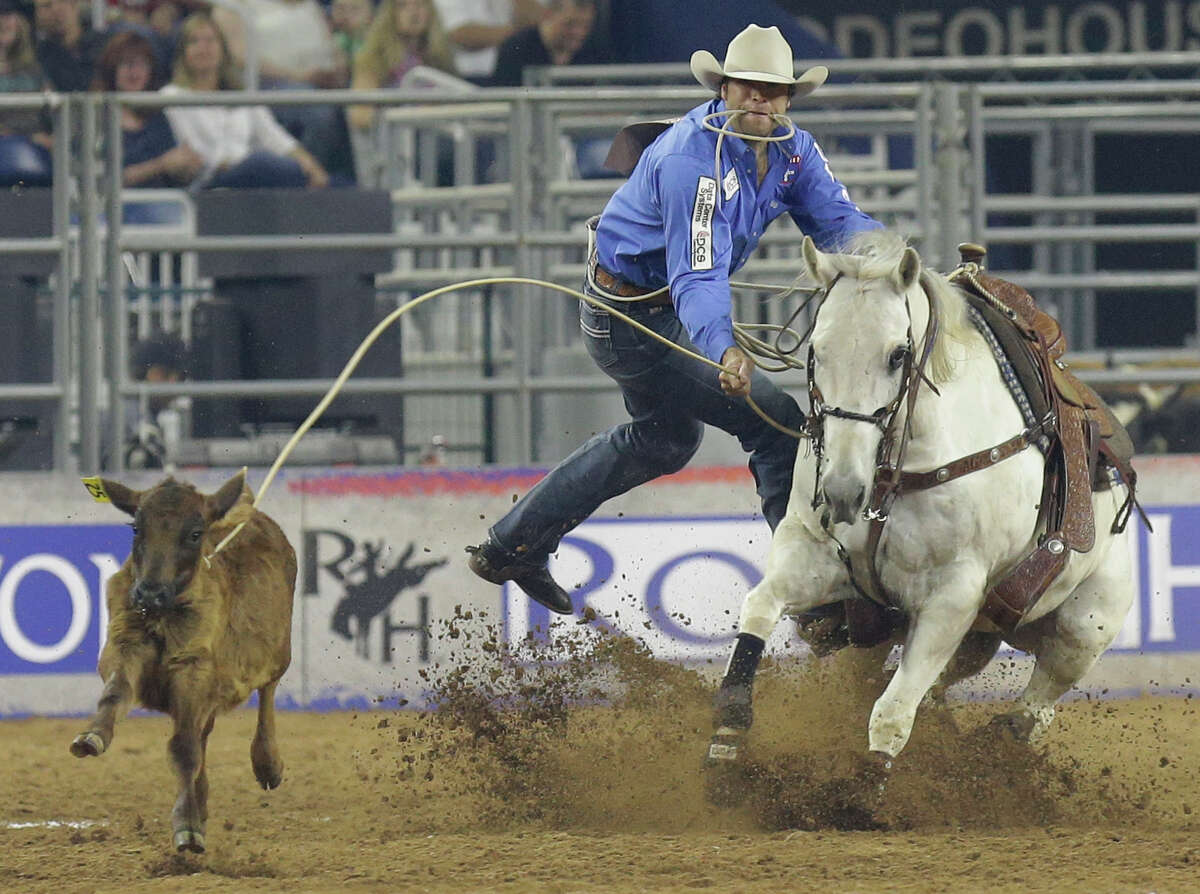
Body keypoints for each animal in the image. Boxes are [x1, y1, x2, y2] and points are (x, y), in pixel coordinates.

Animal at [70, 468, 297, 849]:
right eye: (136, 528)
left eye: (194, 533)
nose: (149, 593)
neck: (165, 615)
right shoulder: (124, 642)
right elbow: (116, 692)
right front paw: (92, 736)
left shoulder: (195, 670)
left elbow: (184, 748)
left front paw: (188, 827)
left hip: (279, 653)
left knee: (267, 693)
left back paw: (267, 763)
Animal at [705, 230, 1137, 768]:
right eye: (816, 352)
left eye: (897, 355)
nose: (843, 490)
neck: (893, 473)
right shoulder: (814, 550)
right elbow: (760, 606)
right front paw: (728, 735)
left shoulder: (952, 598)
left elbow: (891, 716)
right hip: (957, 636)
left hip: (1084, 627)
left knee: (1031, 712)